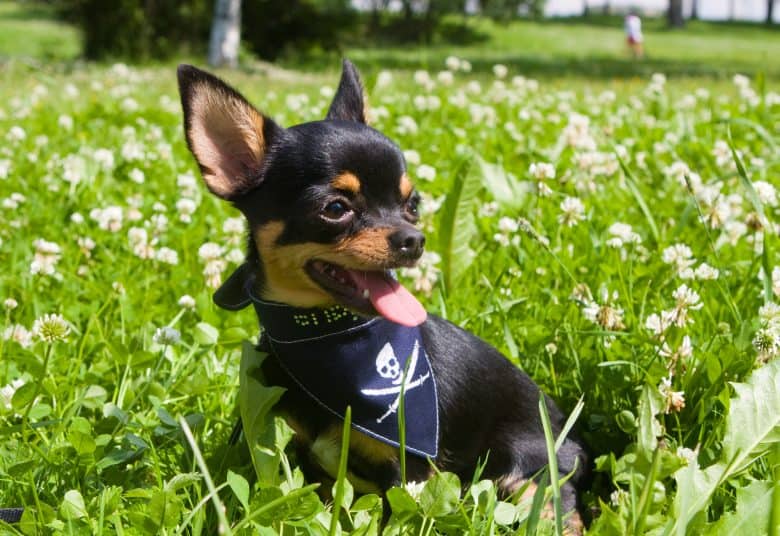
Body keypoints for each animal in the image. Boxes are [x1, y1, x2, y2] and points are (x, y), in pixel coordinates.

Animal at [177, 60, 588, 524]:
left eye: (413, 205)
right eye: (336, 209)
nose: (415, 239)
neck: (331, 338)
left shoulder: (405, 473)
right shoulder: (311, 464)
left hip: (527, 476)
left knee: (560, 508)